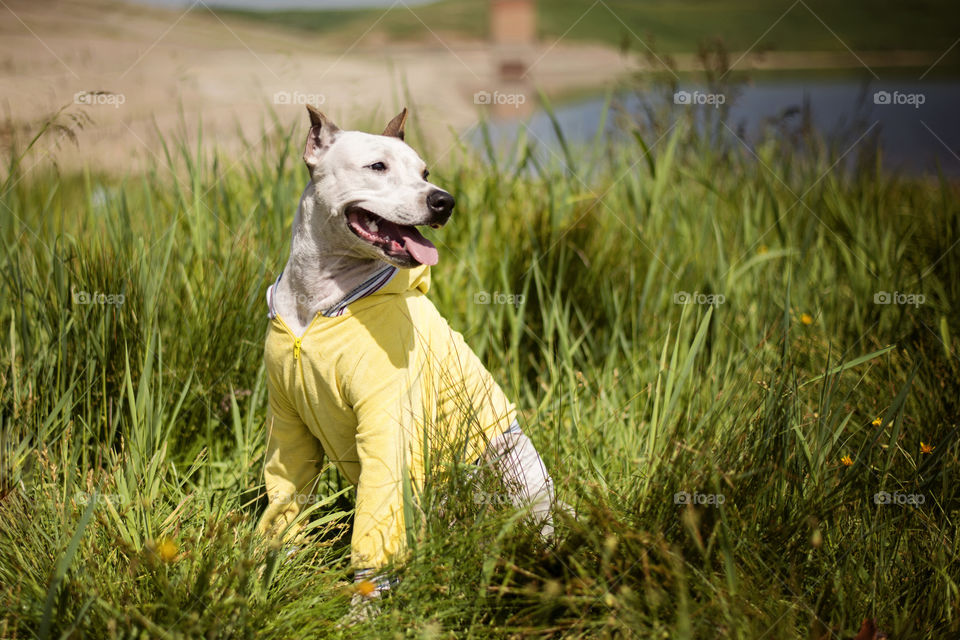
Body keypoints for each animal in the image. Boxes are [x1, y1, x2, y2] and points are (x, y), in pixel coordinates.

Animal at [256, 105, 556, 604]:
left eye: (425, 172)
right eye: (377, 166)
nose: (444, 201)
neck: (318, 306)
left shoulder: (385, 421)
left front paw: (365, 604)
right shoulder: (289, 426)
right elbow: (285, 494)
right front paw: (266, 568)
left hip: (504, 463)